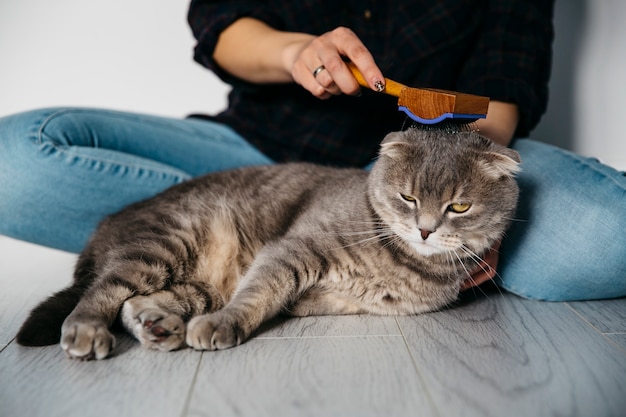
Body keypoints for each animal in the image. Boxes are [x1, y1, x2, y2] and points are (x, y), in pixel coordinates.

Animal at [17, 127, 520, 358]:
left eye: (459, 207)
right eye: (408, 198)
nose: (426, 229)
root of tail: (106, 223)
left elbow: (266, 296)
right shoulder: (290, 251)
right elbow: (257, 294)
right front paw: (226, 325)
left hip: (198, 283)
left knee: (135, 301)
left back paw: (158, 326)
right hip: (165, 242)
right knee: (101, 292)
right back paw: (87, 330)